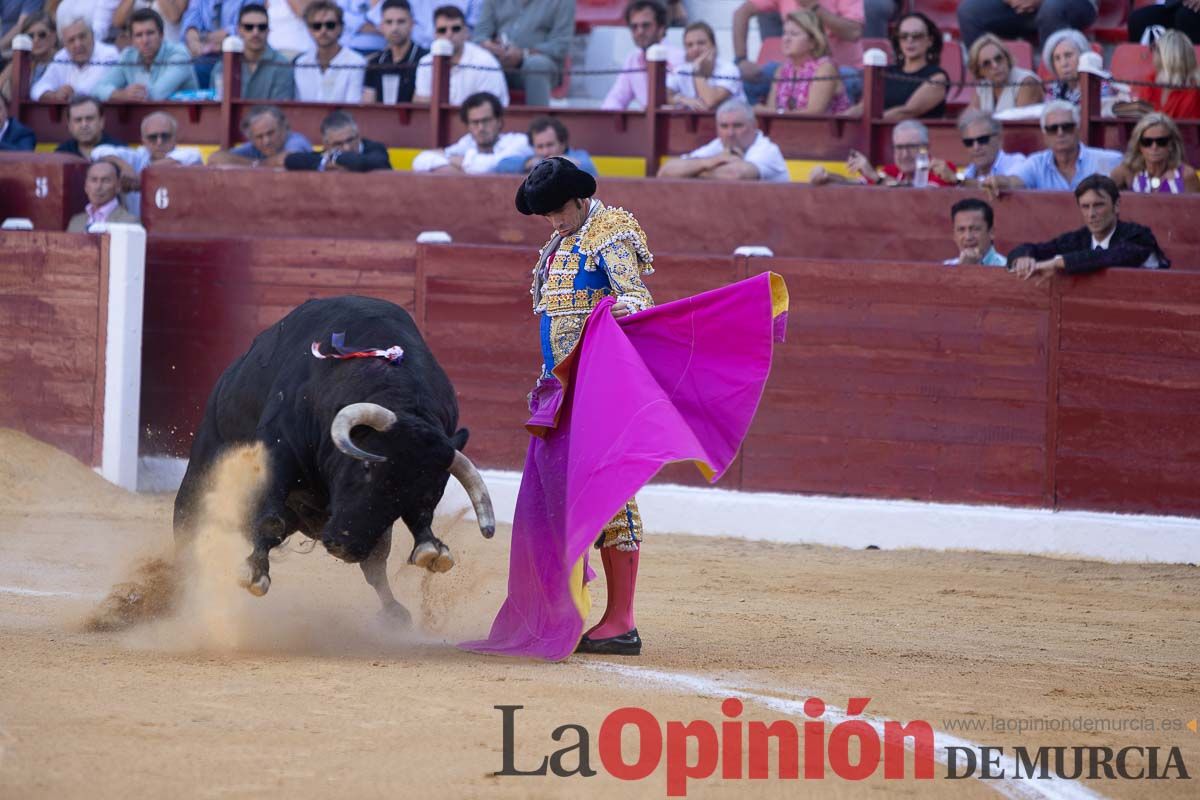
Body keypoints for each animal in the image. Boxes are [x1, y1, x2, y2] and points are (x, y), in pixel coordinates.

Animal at [171, 297, 494, 623]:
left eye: (422, 493)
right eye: (366, 467)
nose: (345, 547)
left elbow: (400, 541)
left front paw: (432, 550)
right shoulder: (278, 452)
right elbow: (269, 521)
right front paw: (254, 572)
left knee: (374, 566)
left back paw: (394, 612)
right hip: (199, 477)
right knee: (190, 530)